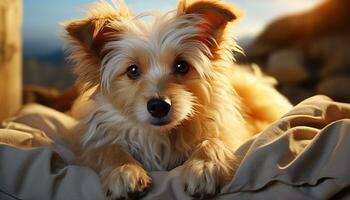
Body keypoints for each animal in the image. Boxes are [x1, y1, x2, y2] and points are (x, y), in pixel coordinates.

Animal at [63, 0, 292, 198]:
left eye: (182, 66)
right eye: (132, 70)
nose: (159, 106)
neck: (162, 135)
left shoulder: (229, 131)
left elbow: (214, 140)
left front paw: (204, 166)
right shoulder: (93, 143)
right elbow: (108, 148)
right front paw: (124, 170)